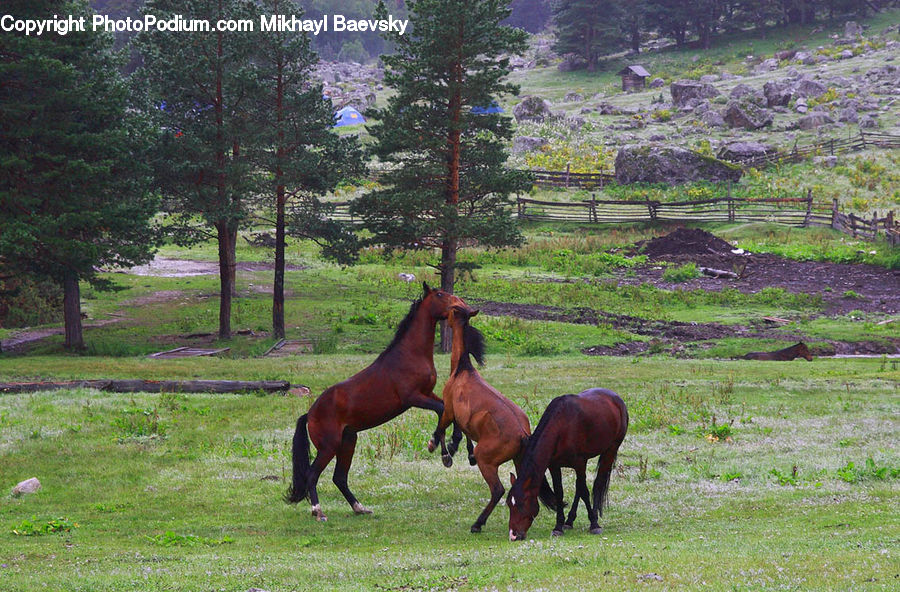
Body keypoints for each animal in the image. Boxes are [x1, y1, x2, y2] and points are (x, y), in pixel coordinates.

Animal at [286, 282, 468, 522]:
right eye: (440, 294)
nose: (460, 305)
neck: (410, 353)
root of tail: (310, 414)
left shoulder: (428, 393)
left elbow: (447, 411)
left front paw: (450, 448)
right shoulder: (413, 397)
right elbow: (442, 410)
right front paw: (439, 448)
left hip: (348, 442)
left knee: (339, 478)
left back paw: (359, 507)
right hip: (329, 446)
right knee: (312, 474)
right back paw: (318, 511)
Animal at [426, 304, 555, 533]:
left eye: (452, 310)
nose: (442, 316)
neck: (463, 370)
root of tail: (523, 435)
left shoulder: (449, 410)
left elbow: (441, 428)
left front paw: (442, 451)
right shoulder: (462, 418)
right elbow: (463, 432)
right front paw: (459, 449)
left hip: (487, 462)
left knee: (497, 490)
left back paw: (478, 523)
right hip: (519, 462)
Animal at [506, 388, 628, 541]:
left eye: (521, 504)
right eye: (509, 504)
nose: (513, 535)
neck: (561, 426)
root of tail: (616, 398)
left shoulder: (580, 463)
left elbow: (585, 491)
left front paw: (594, 524)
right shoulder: (554, 466)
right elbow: (560, 492)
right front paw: (558, 526)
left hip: (610, 450)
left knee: (597, 484)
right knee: (579, 488)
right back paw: (569, 521)